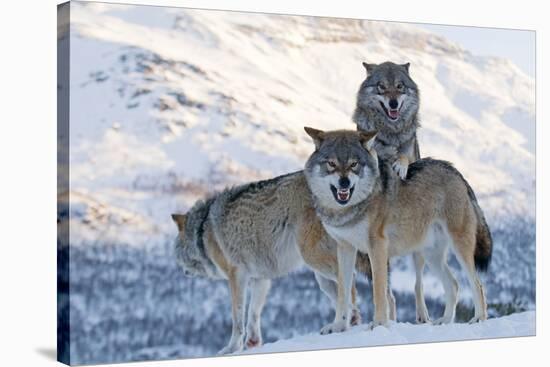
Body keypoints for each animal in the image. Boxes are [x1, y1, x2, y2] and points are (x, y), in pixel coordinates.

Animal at [171, 174, 392, 356]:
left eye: (176, 251)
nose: (181, 270)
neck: (202, 230)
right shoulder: (260, 278)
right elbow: (253, 313)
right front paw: (253, 343)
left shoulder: (237, 276)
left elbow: (237, 318)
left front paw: (232, 348)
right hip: (321, 276)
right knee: (378, 289)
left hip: (314, 258)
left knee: (352, 283)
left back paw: (351, 322)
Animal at [304, 129, 494, 334]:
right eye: (331, 164)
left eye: (354, 164)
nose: (344, 183)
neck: (347, 209)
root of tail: (456, 172)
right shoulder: (345, 248)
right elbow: (343, 293)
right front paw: (338, 326)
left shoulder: (377, 247)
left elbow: (379, 291)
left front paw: (379, 324)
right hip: (432, 256)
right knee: (454, 284)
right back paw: (444, 321)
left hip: (459, 248)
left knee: (478, 284)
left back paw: (479, 318)